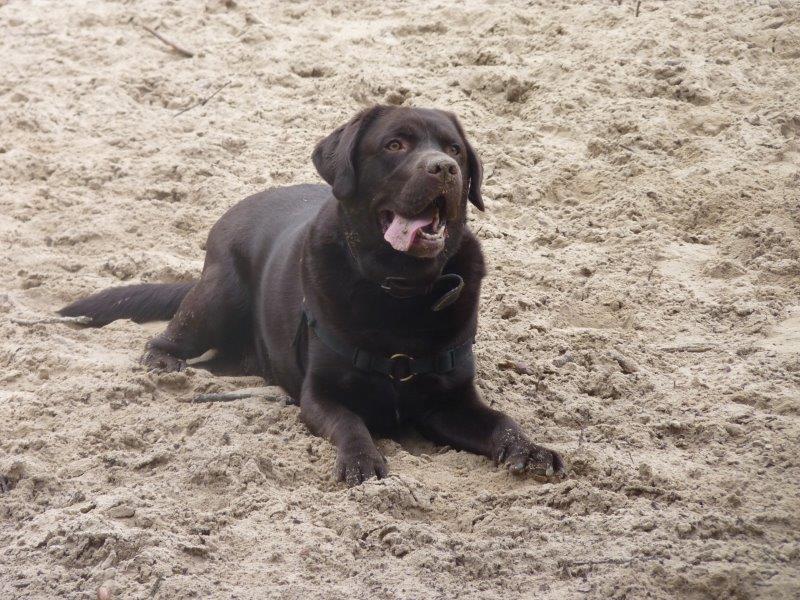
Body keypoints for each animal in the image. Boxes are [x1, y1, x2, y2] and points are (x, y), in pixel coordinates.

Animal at [61, 105, 564, 486]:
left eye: (454, 148)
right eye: (395, 145)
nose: (444, 168)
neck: (400, 292)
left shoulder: (451, 401)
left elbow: (502, 420)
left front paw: (531, 448)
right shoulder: (319, 394)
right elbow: (350, 422)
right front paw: (361, 460)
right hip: (218, 296)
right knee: (171, 335)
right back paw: (165, 360)